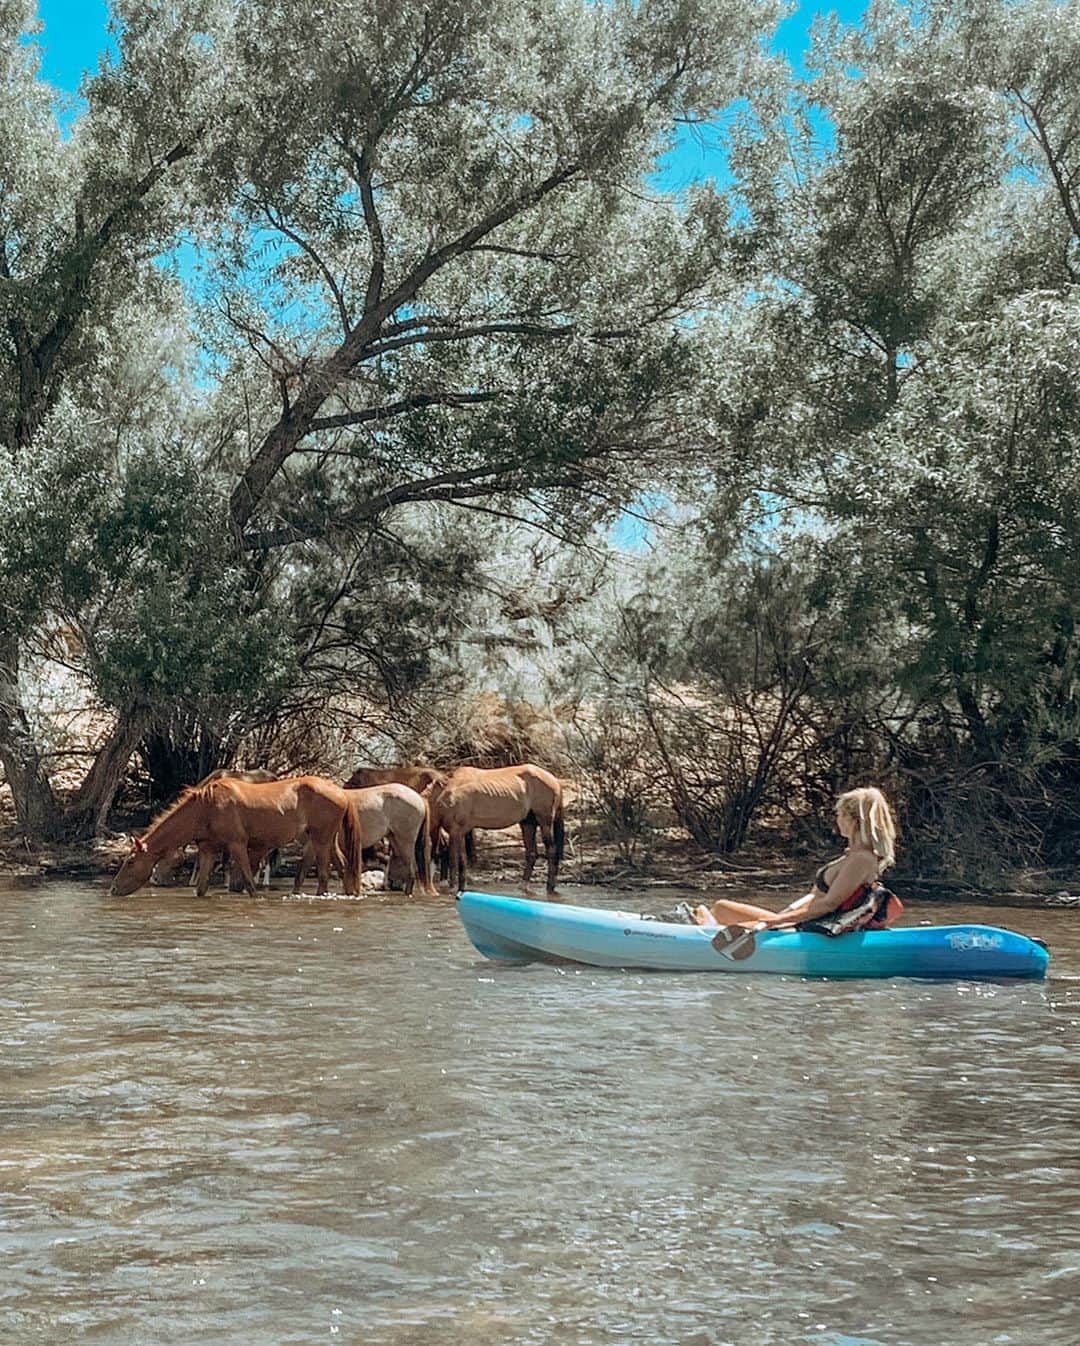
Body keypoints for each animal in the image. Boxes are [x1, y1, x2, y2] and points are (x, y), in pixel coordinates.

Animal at [111, 775, 363, 897]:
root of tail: (341, 793)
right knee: (344, 867)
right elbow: (201, 888)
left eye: (130, 862)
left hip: (321, 839)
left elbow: (250, 885)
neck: (205, 809)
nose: (113, 889)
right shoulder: (208, 848)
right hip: (328, 839)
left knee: (324, 876)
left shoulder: (237, 844)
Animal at [427, 764, 565, 893]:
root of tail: (555, 780)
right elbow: (462, 861)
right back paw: (523, 886)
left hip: (544, 822)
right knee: (531, 853)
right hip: (528, 823)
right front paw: (460, 887)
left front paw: (451, 888)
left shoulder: (455, 830)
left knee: (551, 850)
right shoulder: (459, 832)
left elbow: (453, 859)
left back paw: (550, 887)